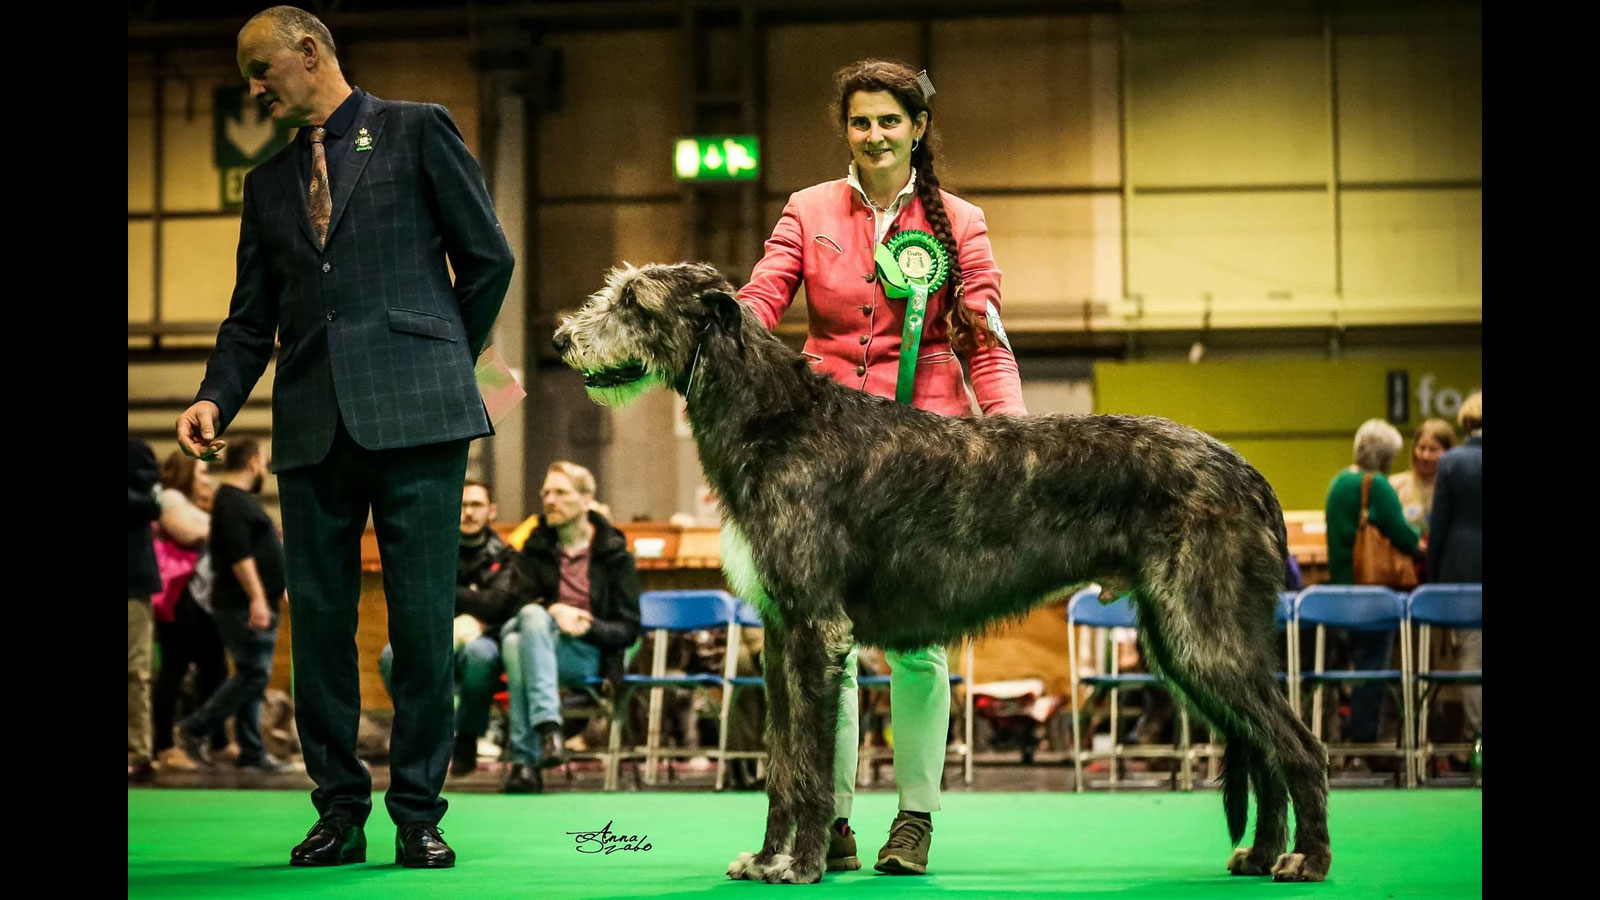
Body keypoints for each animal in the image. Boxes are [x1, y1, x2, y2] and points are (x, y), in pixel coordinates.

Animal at [556, 259, 1331, 883]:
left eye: (633, 299)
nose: (562, 338)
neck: (778, 420)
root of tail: (1250, 476)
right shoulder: (779, 633)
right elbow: (781, 762)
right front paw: (767, 857)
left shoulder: (816, 629)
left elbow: (808, 767)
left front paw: (800, 866)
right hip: (1181, 638)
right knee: (1263, 747)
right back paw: (1264, 855)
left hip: (1202, 630)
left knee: (1298, 745)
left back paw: (1308, 860)